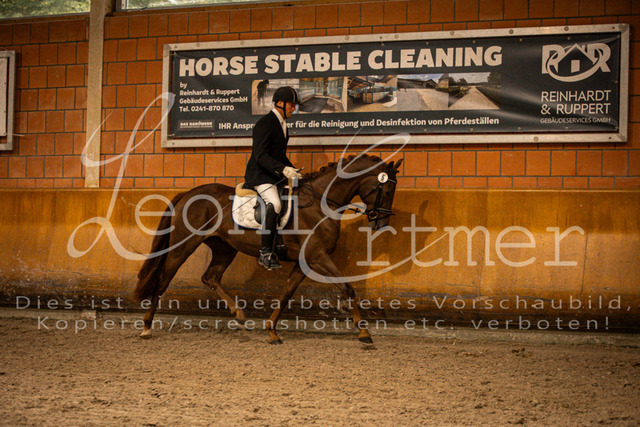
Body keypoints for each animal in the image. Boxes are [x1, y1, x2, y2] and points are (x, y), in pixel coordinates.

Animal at [134, 154, 403, 344]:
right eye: (388, 190)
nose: (381, 223)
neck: (320, 204)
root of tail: (188, 193)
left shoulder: (304, 261)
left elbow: (285, 294)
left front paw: (272, 331)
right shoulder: (318, 257)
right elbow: (346, 288)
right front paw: (364, 333)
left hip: (225, 248)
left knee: (210, 277)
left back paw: (239, 315)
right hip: (183, 246)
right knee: (163, 280)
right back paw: (146, 327)